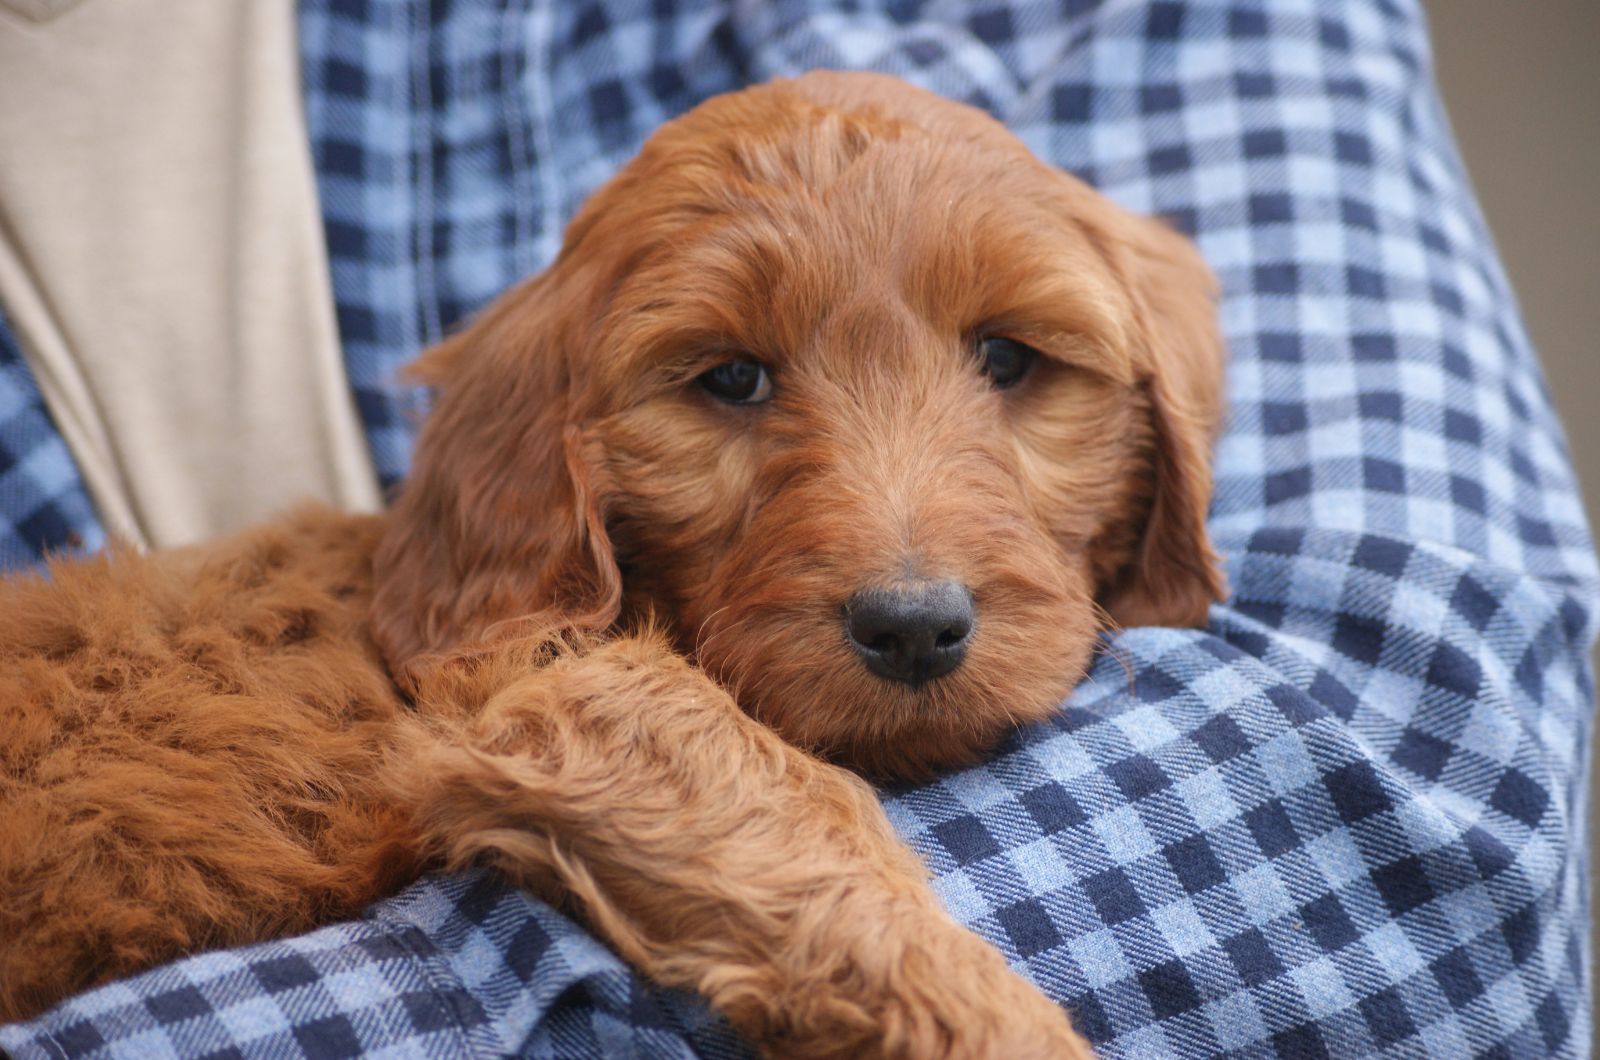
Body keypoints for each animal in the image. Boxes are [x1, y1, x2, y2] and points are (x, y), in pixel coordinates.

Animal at [0, 70, 1222, 1056]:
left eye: (1008, 359)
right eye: (731, 379)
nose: (914, 626)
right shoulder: (542, 684)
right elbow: (774, 797)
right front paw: (996, 1018)